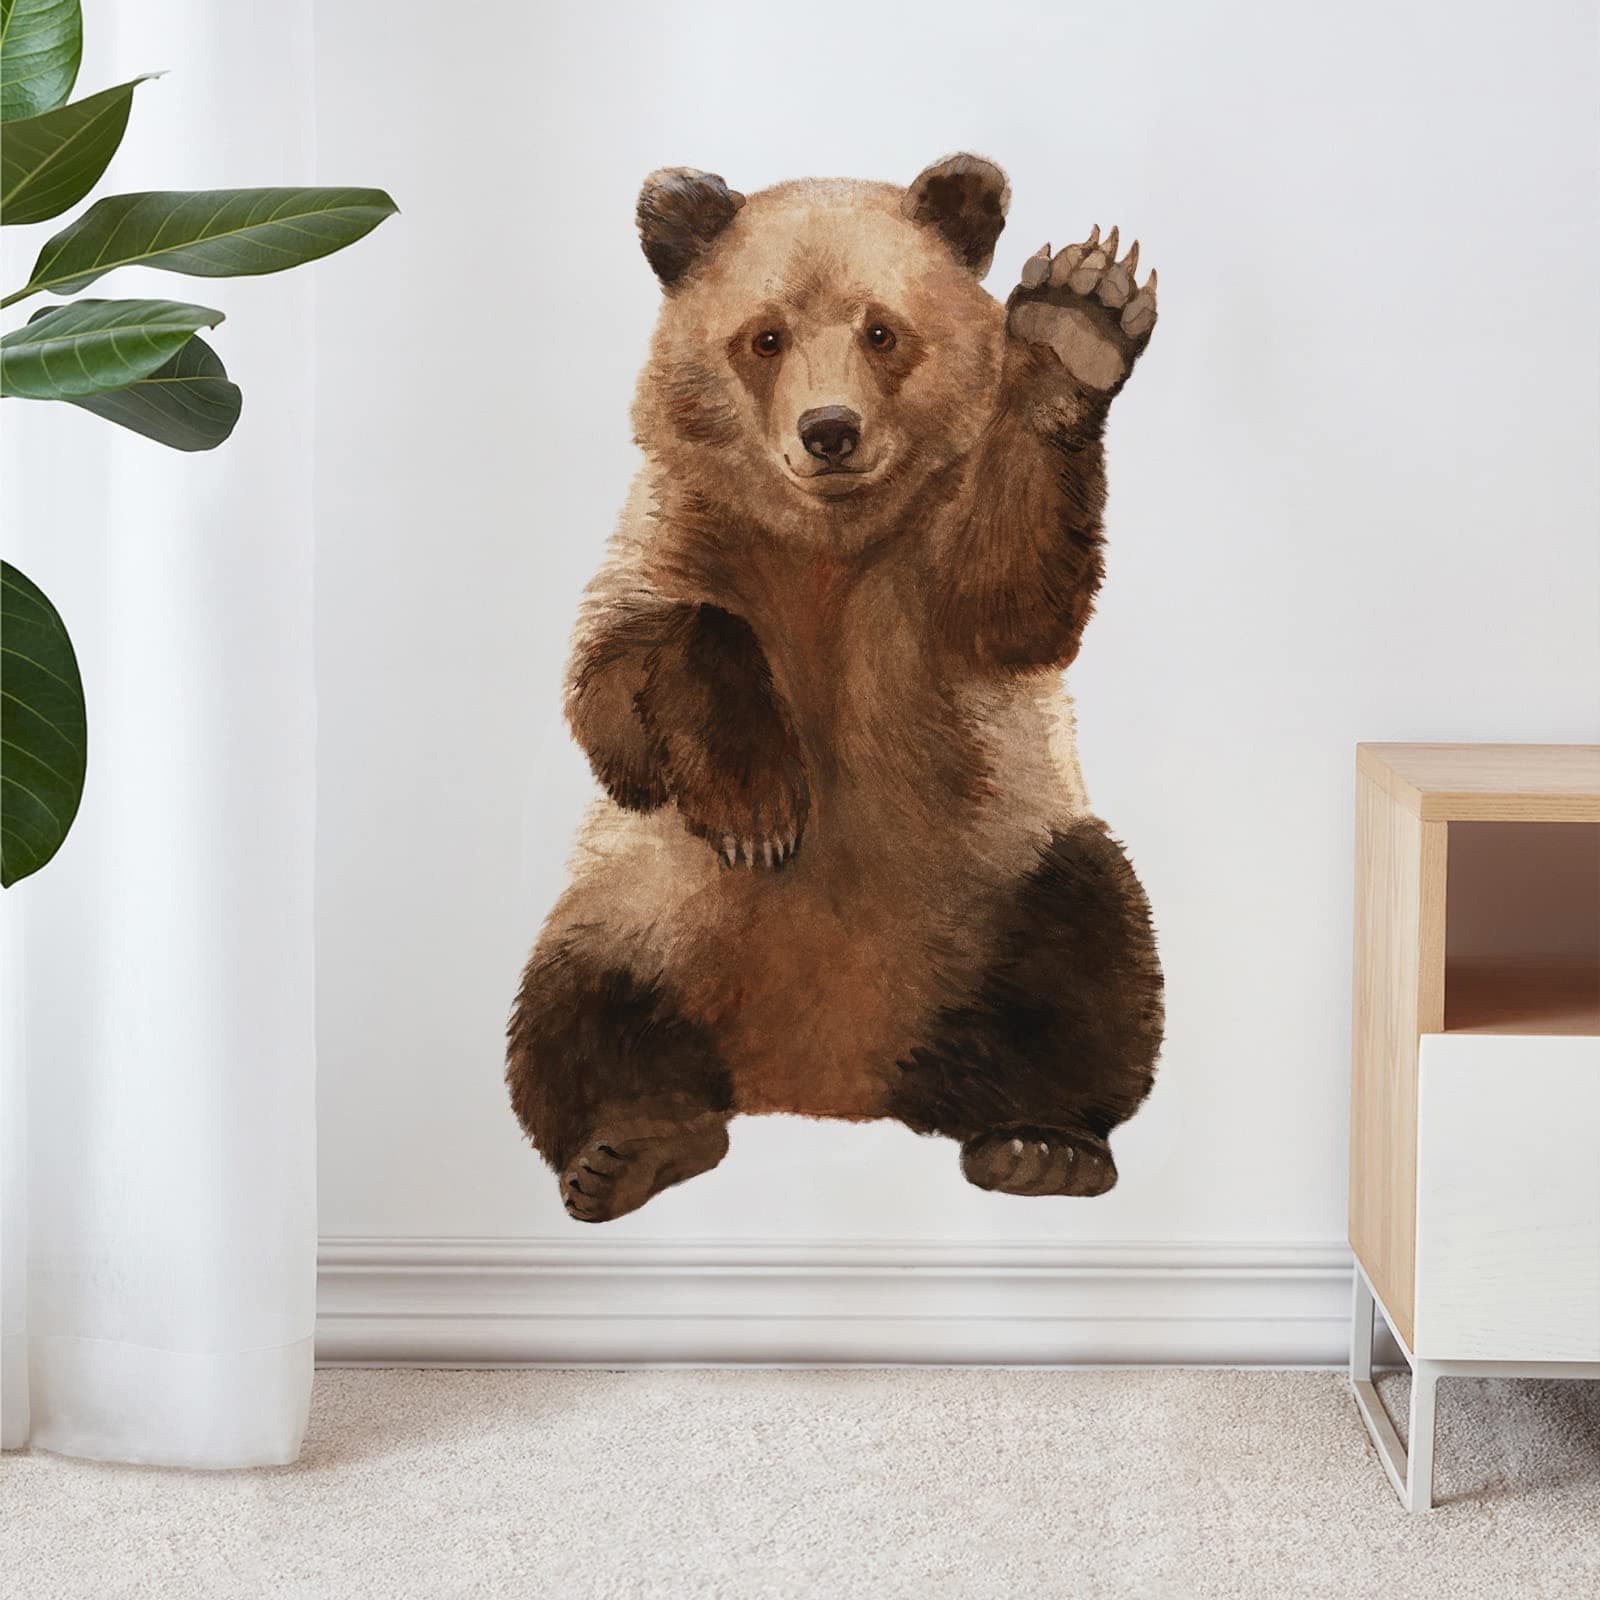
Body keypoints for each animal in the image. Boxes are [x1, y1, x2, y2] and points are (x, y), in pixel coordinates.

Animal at [507, 153, 1164, 1223]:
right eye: (765, 336)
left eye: (882, 330)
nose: (829, 431)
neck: (827, 543)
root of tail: (825, 1083)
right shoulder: (683, 535)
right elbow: (619, 691)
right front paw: (760, 809)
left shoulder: (925, 587)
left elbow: (1013, 590)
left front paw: (1076, 319)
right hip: (645, 914)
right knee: (575, 1011)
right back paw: (633, 1145)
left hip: (1001, 876)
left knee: (1093, 956)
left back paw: (1041, 1143)